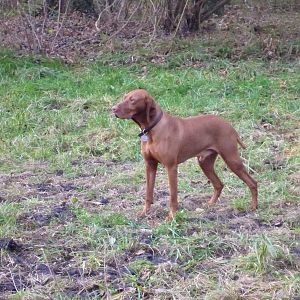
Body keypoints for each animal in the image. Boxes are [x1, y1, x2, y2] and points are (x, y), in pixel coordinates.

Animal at [112, 89, 258, 220]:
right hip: (205, 162)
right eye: (124, 97)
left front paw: (171, 216)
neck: (153, 129)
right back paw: (210, 204)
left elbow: (173, 195)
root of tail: (229, 125)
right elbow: (148, 193)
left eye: (132, 100)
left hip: (231, 160)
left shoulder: (171, 167)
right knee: (219, 184)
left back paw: (254, 207)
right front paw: (144, 213)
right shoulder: (150, 165)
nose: (113, 109)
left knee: (252, 182)